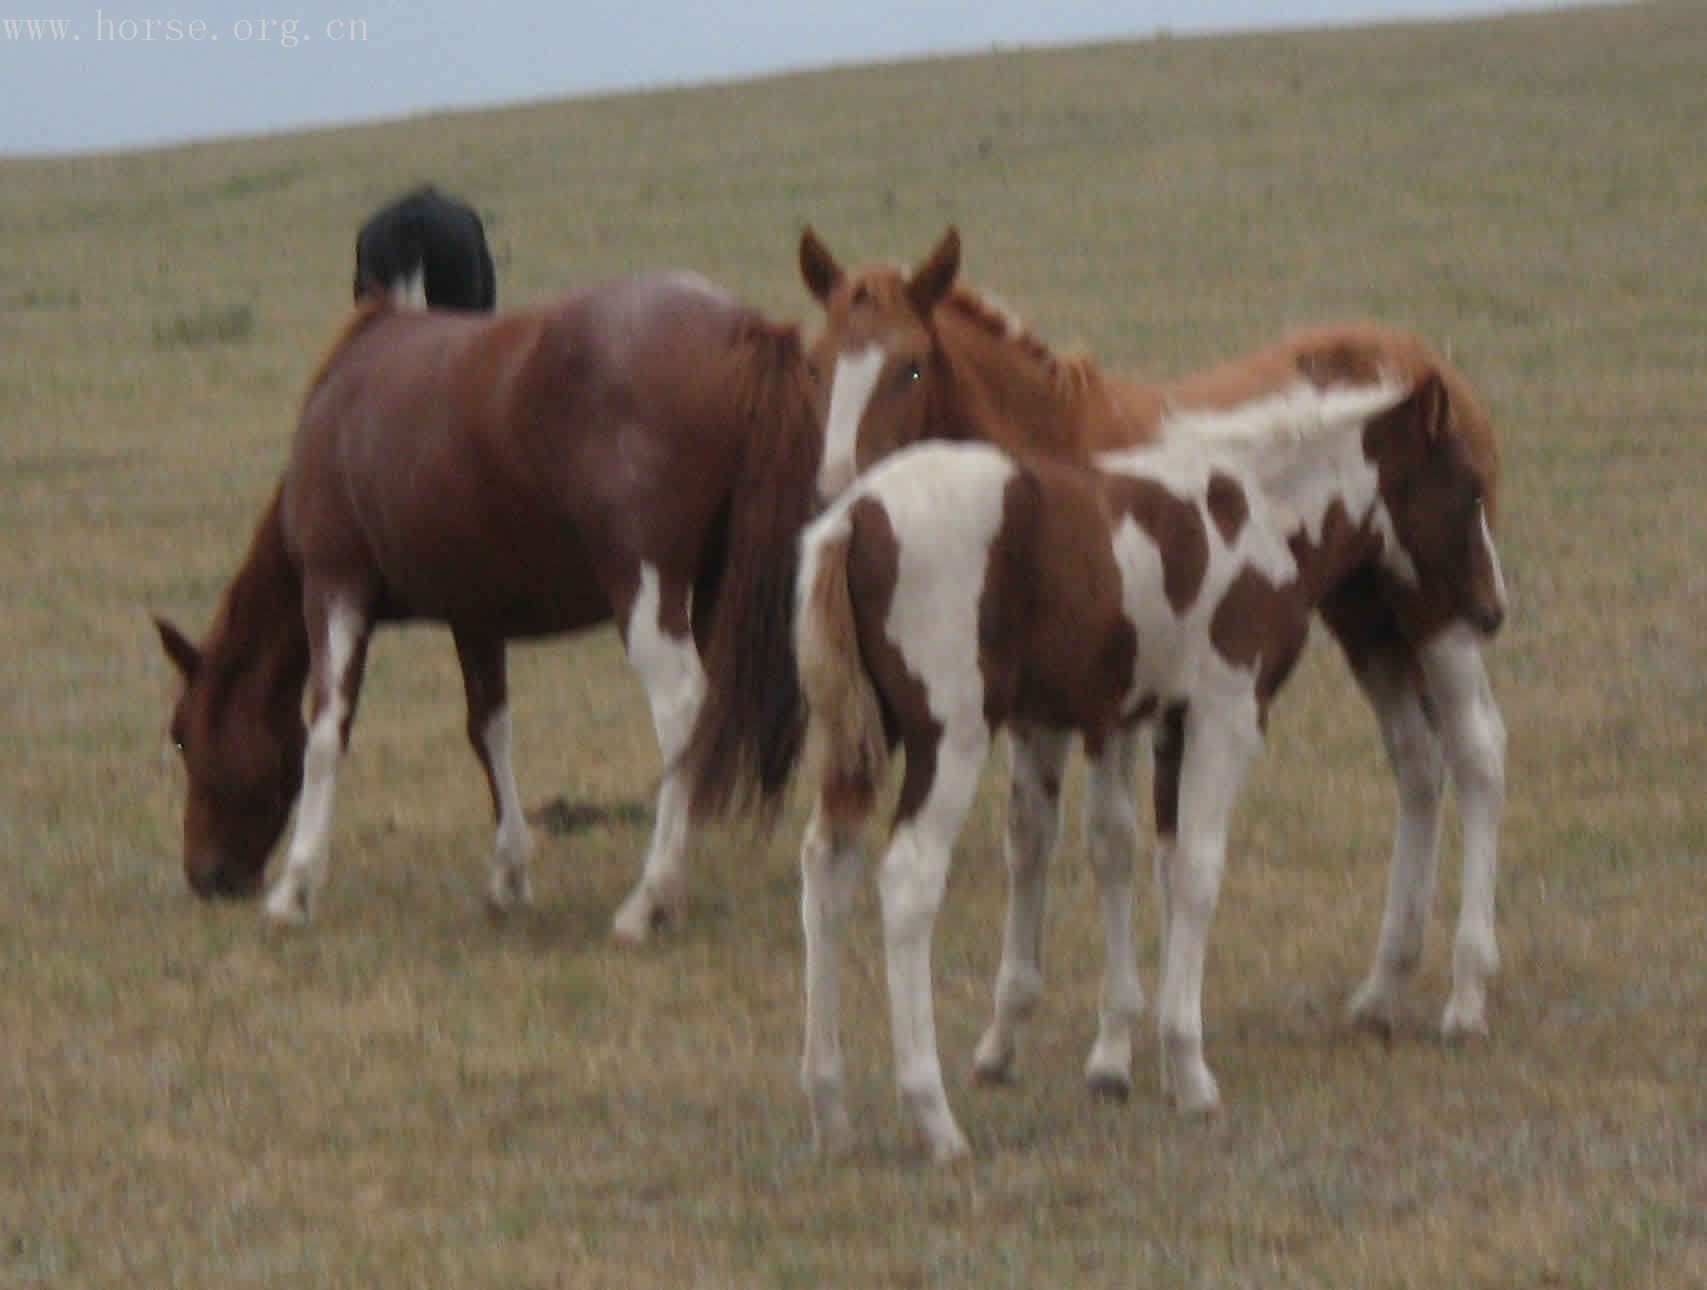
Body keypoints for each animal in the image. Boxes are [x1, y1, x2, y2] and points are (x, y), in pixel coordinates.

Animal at [157, 276, 815, 935]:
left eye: (182, 734)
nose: (206, 876)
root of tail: (745, 330)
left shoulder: (334, 585)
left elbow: (326, 731)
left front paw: (294, 891)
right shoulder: (475, 614)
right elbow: (489, 730)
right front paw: (509, 876)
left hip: (648, 591)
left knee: (683, 710)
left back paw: (650, 896)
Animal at [781, 223, 1508, 1051]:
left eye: (908, 365)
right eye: (816, 364)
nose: (832, 493)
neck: (1055, 447)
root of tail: (1425, 360)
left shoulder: (1115, 708)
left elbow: (1112, 843)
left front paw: (1118, 1036)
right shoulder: (1059, 709)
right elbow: (1035, 839)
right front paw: (1012, 1031)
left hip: (1437, 615)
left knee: (1476, 754)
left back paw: (1465, 992)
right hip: (1368, 627)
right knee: (1416, 766)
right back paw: (1384, 985)